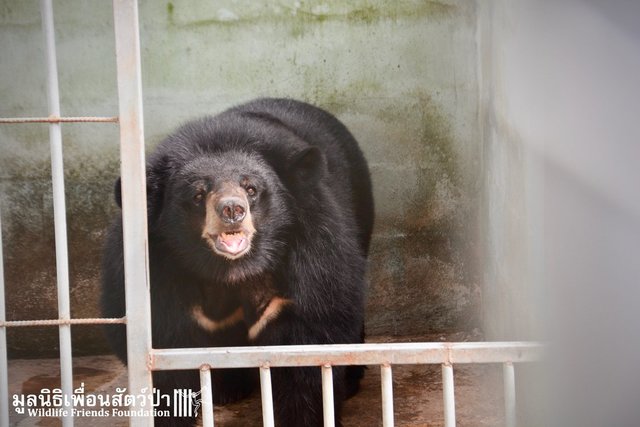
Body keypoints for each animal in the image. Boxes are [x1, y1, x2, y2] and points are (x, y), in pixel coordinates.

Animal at [100, 98, 376, 426]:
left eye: (251, 188)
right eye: (198, 194)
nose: (232, 210)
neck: (233, 271)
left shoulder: (315, 258)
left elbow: (309, 349)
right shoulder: (160, 276)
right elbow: (169, 363)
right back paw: (227, 391)